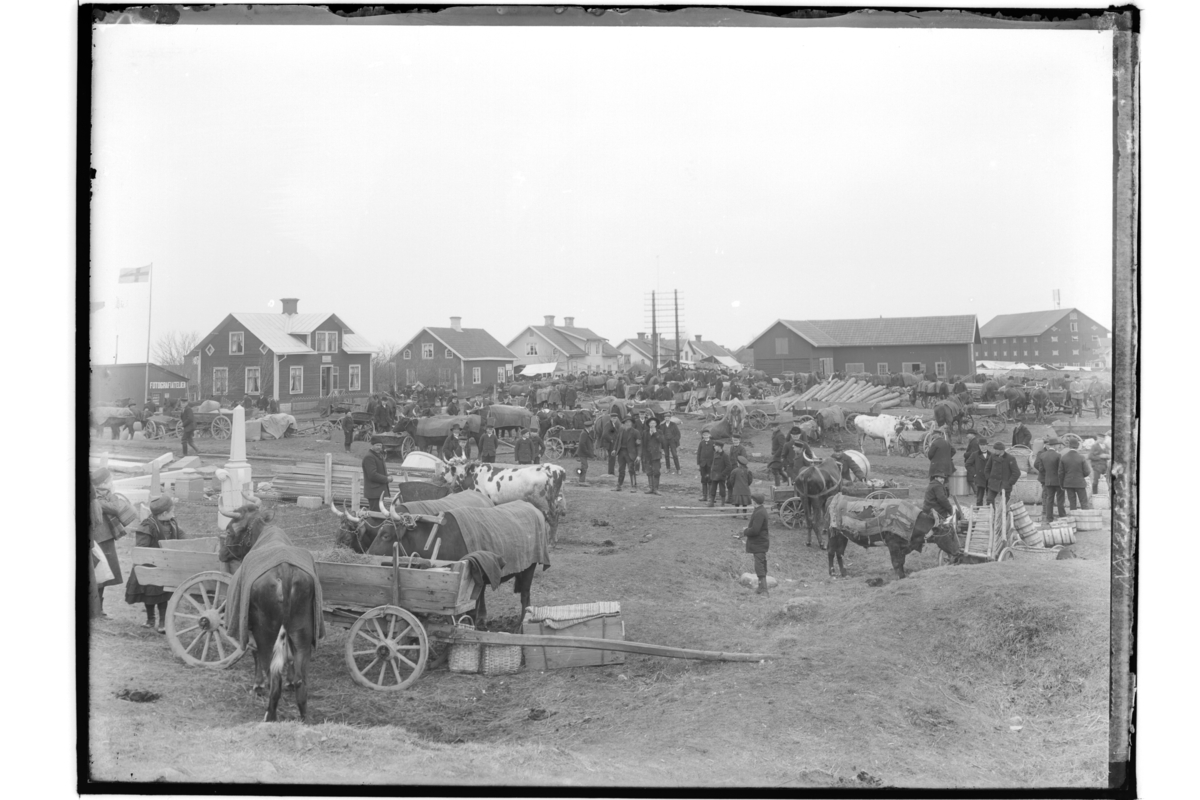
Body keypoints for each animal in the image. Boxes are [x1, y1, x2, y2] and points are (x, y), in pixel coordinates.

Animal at [220, 491, 321, 724]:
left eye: (229, 530)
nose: (221, 554)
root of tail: (284, 569)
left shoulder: (251, 625)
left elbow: (254, 652)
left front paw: (257, 685)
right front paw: (290, 680)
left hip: (266, 630)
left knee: (273, 676)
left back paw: (270, 714)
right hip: (302, 630)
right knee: (301, 679)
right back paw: (303, 716)